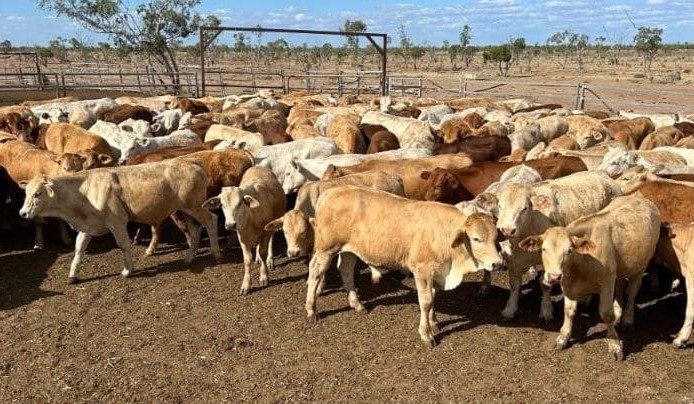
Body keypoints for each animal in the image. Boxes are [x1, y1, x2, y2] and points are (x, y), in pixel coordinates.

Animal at [18, 159, 222, 284]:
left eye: (38, 193)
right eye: (26, 192)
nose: (22, 213)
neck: (84, 191)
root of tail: (193, 162)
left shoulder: (116, 221)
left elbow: (123, 245)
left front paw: (127, 270)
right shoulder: (89, 225)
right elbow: (79, 249)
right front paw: (72, 275)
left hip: (195, 206)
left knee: (211, 221)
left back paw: (216, 253)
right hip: (186, 210)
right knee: (195, 230)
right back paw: (189, 257)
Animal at [203, 166, 286, 295]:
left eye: (240, 203)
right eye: (222, 205)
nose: (230, 225)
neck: (250, 216)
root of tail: (259, 166)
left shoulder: (265, 232)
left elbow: (263, 252)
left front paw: (264, 276)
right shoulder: (242, 236)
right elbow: (247, 260)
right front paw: (245, 285)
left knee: (270, 241)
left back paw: (269, 260)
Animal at [305, 186, 503, 347]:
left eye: (495, 237)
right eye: (476, 239)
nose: (497, 263)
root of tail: (331, 191)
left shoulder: (436, 273)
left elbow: (433, 298)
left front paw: (434, 322)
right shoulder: (422, 270)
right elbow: (426, 301)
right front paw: (426, 334)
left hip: (350, 250)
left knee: (346, 270)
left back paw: (357, 304)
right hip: (326, 249)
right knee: (315, 272)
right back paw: (311, 310)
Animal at [519, 194, 661, 360]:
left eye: (569, 250)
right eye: (543, 249)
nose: (554, 276)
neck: (579, 267)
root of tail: (639, 197)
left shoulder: (606, 281)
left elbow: (607, 314)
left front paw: (614, 344)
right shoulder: (568, 284)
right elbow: (569, 310)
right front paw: (563, 337)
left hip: (641, 266)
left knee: (632, 292)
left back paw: (627, 318)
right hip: (621, 268)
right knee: (620, 285)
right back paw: (619, 311)